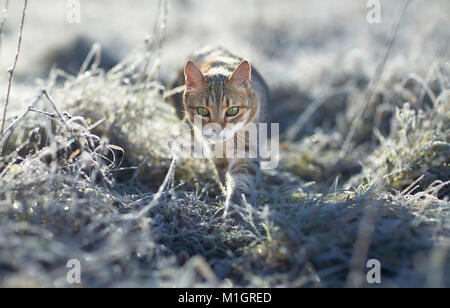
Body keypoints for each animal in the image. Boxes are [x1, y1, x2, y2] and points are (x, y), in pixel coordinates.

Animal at [168, 46, 268, 214]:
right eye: (202, 110)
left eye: (233, 110)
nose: (217, 129)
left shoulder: (247, 146)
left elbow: (243, 176)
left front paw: (237, 206)